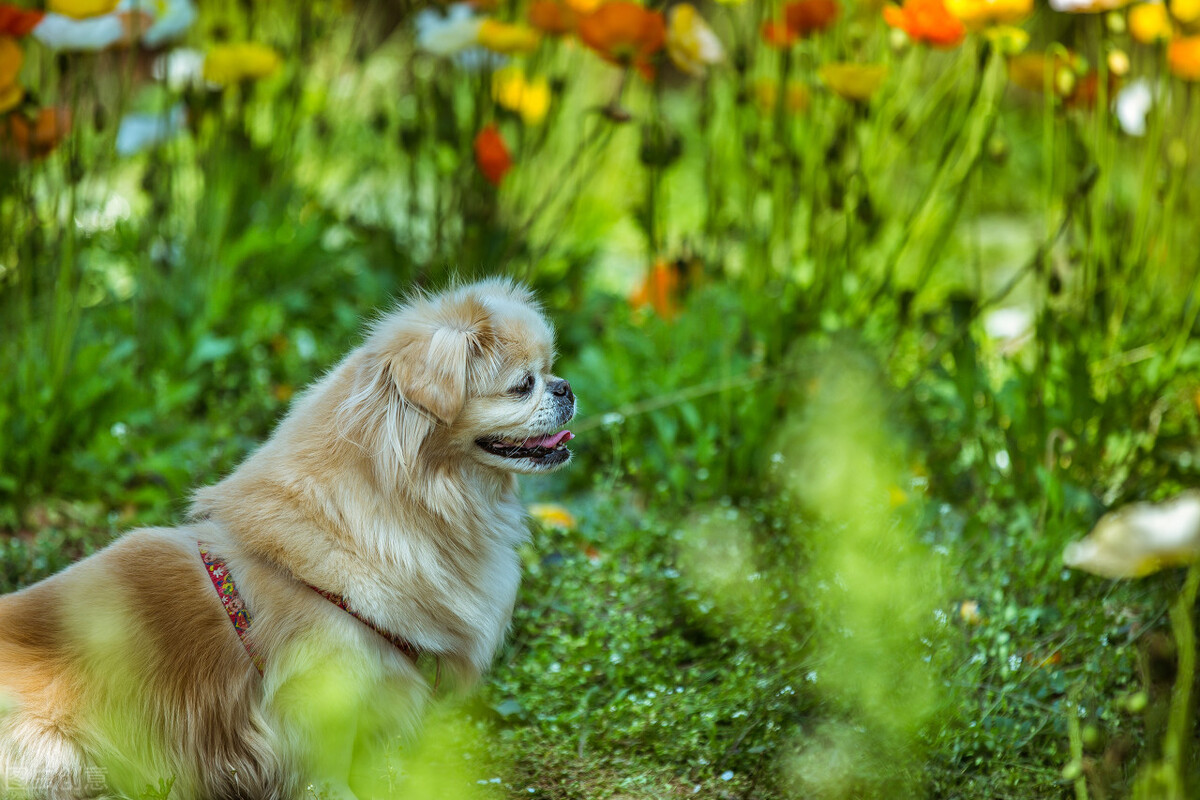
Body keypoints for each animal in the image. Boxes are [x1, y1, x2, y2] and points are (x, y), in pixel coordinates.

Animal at [0, 278, 576, 796]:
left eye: (549, 371)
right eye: (522, 385)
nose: (566, 387)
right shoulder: (321, 702)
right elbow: (328, 773)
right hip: (61, 754)